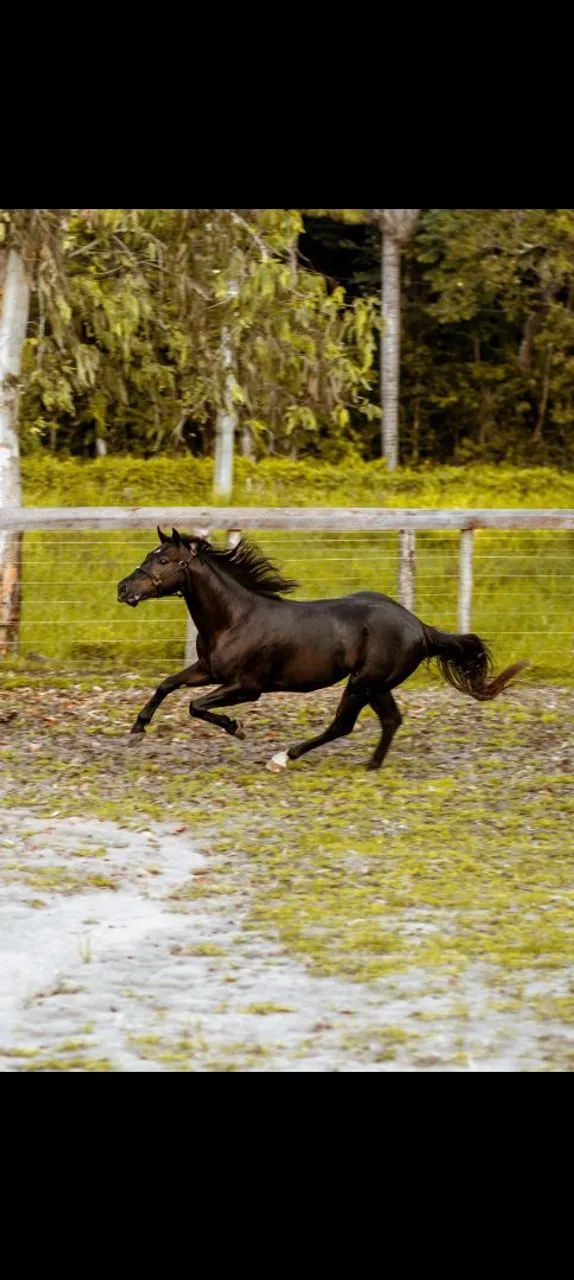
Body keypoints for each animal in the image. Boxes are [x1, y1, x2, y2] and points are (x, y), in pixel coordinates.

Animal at [117, 527, 528, 771]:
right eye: (150, 554)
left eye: (164, 559)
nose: (123, 589)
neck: (235, 618)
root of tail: (421, 628)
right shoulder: (208, 669)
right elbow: (167, 685)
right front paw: (137, 730)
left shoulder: (247, 687)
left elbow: (195, 705)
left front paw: (237, 729)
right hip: (375, 685)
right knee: (390, 721)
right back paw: (371, 765)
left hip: (363, 683)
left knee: (343, 724)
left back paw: (284, 757)